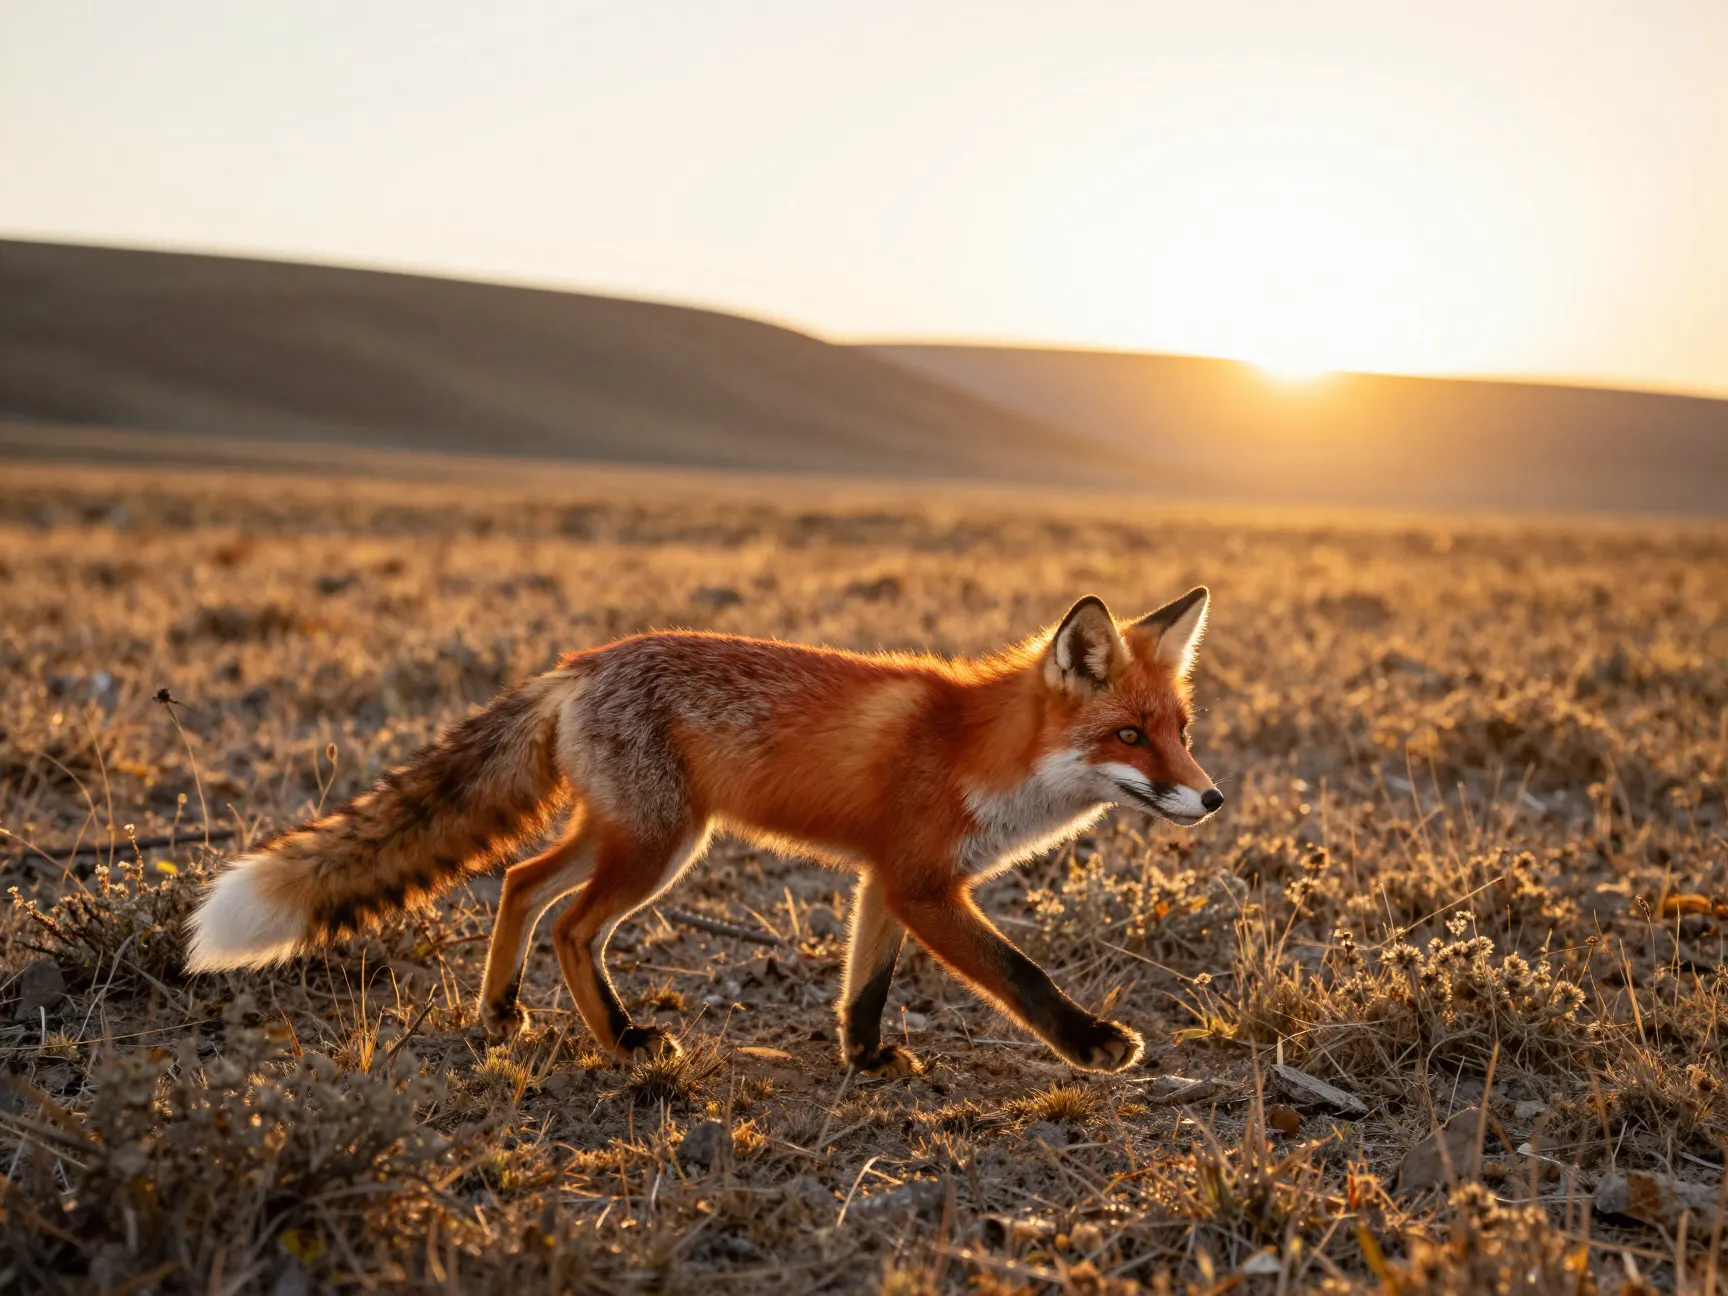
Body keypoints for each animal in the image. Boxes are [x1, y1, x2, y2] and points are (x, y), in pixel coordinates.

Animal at [185, 587, 1222, 1075]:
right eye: (1130, 737)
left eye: (1181, 730)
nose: (1211, 799)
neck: (982, 752)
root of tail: (581, 662)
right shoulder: (924, 884)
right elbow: (1022, 974)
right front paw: (1092, 1045)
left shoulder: (885, 880)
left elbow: (864, 988)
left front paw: (865, 1059)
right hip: (659, 847)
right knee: (572, 925)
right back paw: (622, 1040)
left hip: (623, 832)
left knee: (521, 881)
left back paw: (502, 1011)